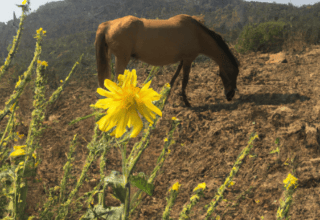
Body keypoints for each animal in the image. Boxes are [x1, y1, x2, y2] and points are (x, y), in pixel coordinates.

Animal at [95, 14, 240, 107]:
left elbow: (174, 79)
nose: (230, 95)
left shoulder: (182, 60)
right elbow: (184, 80)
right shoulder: (188, 59)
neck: (197, 34)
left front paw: (165, 98)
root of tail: (109, 25)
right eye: (232, 74)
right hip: (122, 58)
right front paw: (187, 103)